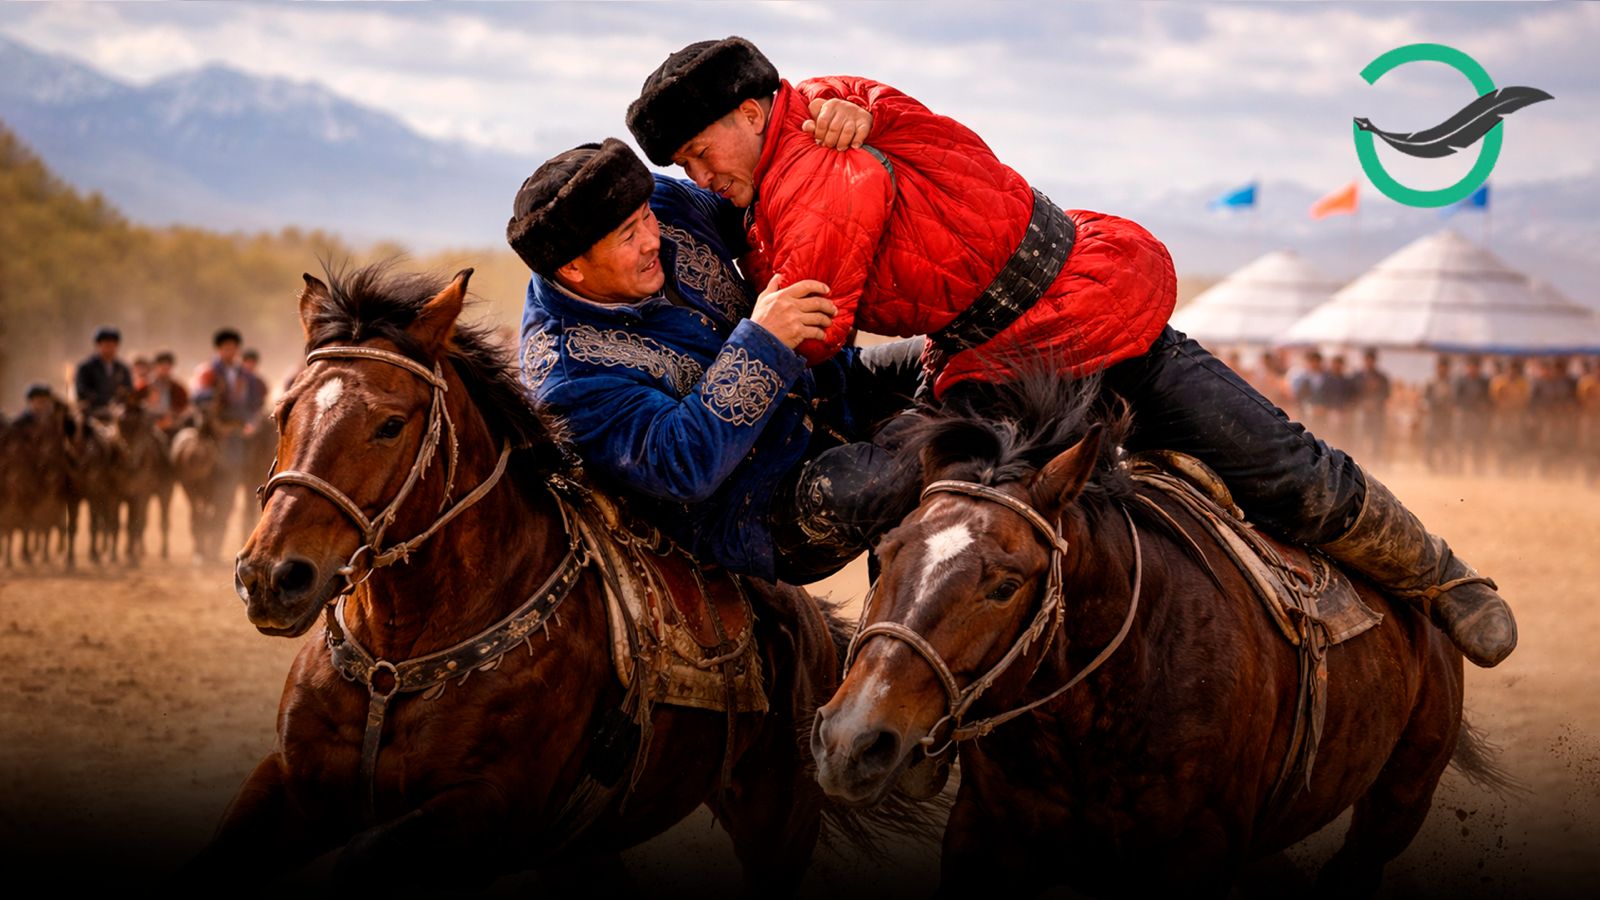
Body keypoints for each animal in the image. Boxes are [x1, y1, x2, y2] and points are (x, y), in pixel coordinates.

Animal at [190, 263, 902, 892]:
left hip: (779, 823)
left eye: (389, 424)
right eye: (283, 413)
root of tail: (804, 620)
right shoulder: (292, 782)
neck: (396, 661)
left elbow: (360, 860)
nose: (271, 575)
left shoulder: (482, 813)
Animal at [810, 376, 1501, 898]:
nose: (851, 740)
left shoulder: (1195, 855)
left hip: (1399, 798)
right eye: (884, 553)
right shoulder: (984, 837)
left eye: (1005, 585)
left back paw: (1475, 606)